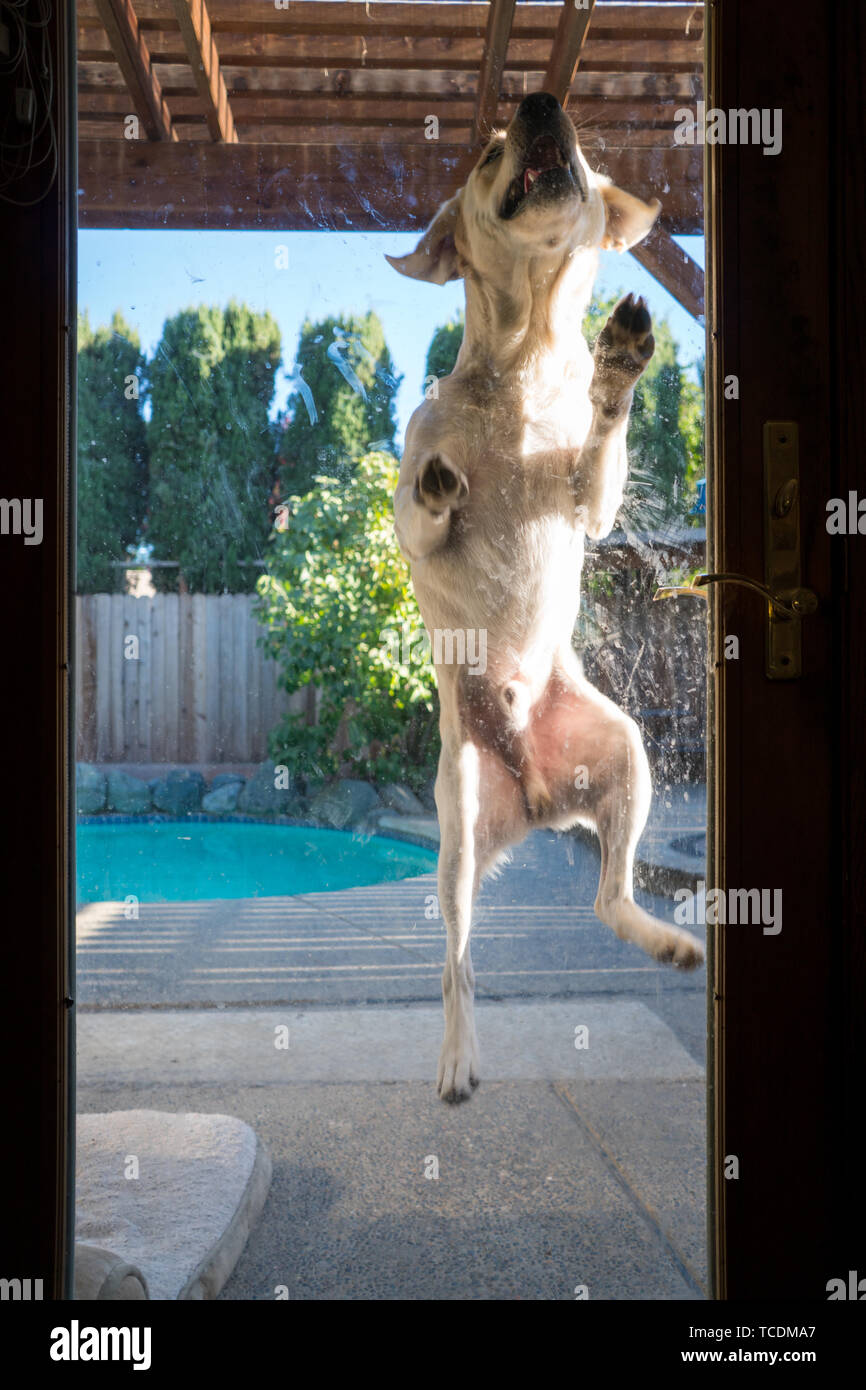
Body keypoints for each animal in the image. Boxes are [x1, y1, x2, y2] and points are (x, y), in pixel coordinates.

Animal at [389, 92, 700, 1100]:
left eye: (581, 150)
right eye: (488, 152)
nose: (541, 103)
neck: (524, 371)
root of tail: (533, 796)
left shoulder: (590, 501)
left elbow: (599, 455)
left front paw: (620, 365)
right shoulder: (412, 516)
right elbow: (421, 507)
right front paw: (439, 484)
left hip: (629, 754)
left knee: (610, 896)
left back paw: (665, 939)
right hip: (454, 838)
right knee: (458, 963)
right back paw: (457, 1059)